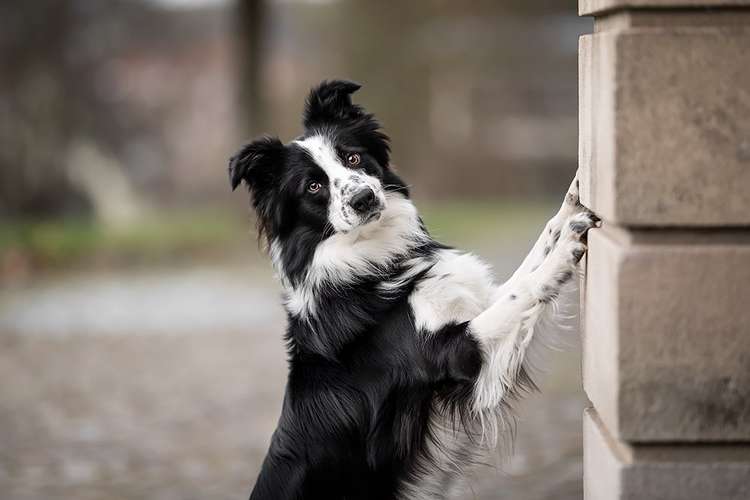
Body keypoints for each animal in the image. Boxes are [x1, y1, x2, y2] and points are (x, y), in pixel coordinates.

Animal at [231, 80, 600, 498]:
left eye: (353, 158)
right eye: (313, 186)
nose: (364, 199)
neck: (380, 264)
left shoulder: (473, 304)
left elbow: (527, 266)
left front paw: (571, 202)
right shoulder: (457, 353)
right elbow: (520, 293)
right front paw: (565, 253)